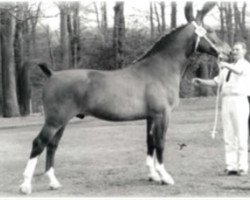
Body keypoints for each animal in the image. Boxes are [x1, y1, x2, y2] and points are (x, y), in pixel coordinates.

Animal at [19, 2, 230, 195]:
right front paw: (165, 176)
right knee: (38, 144)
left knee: (52, 146)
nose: (228, 51)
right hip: (54, 121)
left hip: (61, 123)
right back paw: (26, 186)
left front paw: (153, 175)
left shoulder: (151, 117)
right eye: (211, 30)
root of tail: (52, 74)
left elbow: (150, 143)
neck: (160, 69)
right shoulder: (162, 115)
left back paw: (53, 183)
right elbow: (160, 143)